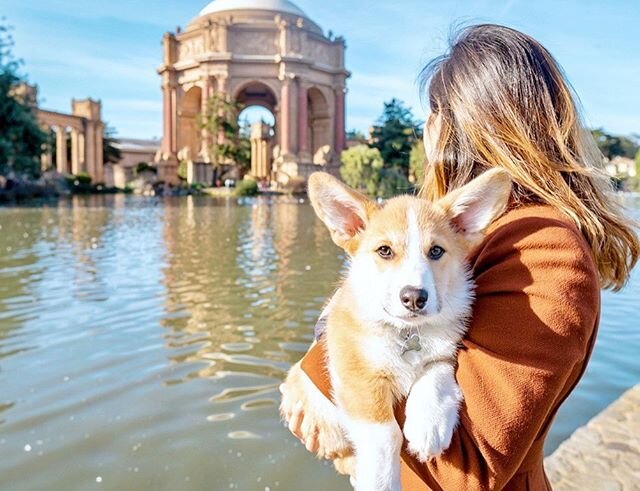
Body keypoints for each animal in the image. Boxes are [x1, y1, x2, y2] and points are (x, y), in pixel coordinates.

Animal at [282, 170, 512, 491]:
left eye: (436, 251)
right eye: (385, 251)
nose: (415, 297)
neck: (406, 332)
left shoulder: (444, 353)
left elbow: (435, 373)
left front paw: (429, 426)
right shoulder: (357, 375)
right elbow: (386, 435)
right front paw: (381, 482)